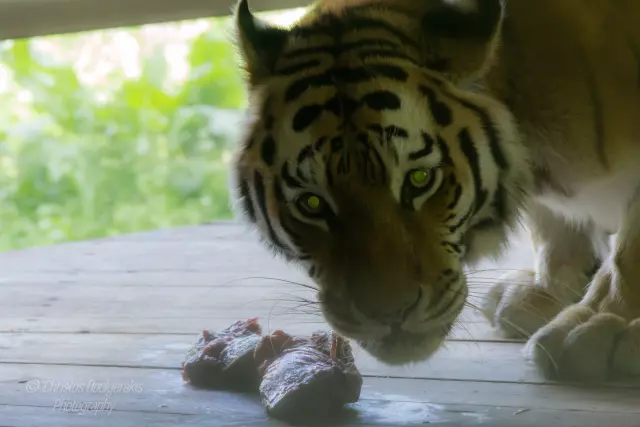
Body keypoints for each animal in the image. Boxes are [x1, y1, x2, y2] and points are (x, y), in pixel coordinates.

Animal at [229, 0, 640, 382]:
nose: (390, 314)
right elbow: (551, 223)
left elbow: (628, 251)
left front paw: (595, 326)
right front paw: (547, 288)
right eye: (312, 203)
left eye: (420, 179)